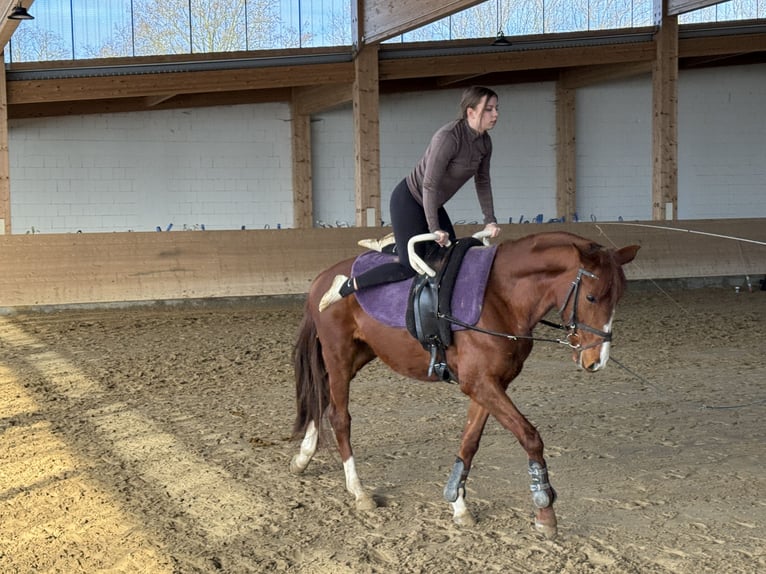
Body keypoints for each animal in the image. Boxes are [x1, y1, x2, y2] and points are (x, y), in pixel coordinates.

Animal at [290, 230, 639, 538]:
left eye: (618, 298)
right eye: (591, 296)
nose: (596, 360)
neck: (499, 297)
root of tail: (322, 279)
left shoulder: (490, 384)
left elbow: (470, 442)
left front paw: (458, 504)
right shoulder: (480, 383)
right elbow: (530, 436)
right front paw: (545, 512)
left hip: (360, 354)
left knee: (321, 395)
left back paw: (303, 457)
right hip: (339, 354)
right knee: (339, 416)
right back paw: (358, 490)